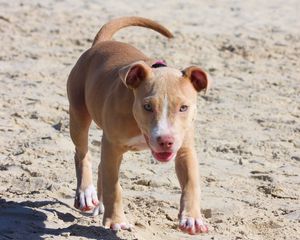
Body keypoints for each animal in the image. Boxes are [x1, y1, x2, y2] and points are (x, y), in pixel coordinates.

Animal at [67, 16, 210, 234]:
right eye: (148, 106)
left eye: (184, 107)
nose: (166, 140)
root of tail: (101, 44)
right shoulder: (112, 146)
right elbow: (114, 187)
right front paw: (116, 220)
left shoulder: (184, 149)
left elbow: (191, 184)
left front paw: (192, 219)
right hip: (78, 115)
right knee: (82, 153)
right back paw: (86, 193)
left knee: (100, 165)